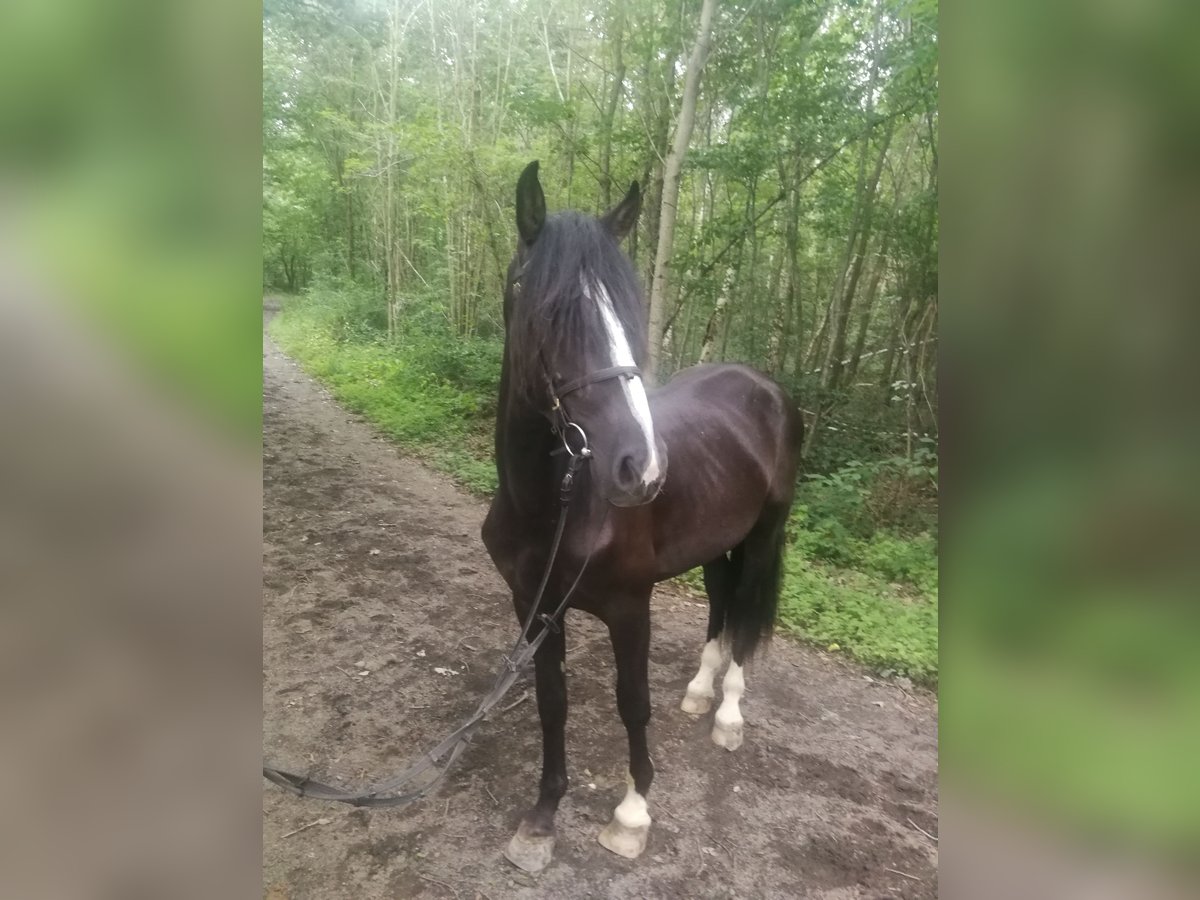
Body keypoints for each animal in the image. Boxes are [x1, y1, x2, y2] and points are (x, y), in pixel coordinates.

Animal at [482, 162, 801, 873]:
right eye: (549, 311)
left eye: (628, 310)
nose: (642, 468)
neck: (555, 507)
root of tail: (765, 386)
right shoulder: (533, 607)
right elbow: (552, 703)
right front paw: (542, 818)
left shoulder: (630, 608)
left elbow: (632, 705)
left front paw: (631, 815)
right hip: (717, 542)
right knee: (722, 598)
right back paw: (700, 690)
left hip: (765, 535)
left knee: (746, 615)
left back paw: (728, 714)